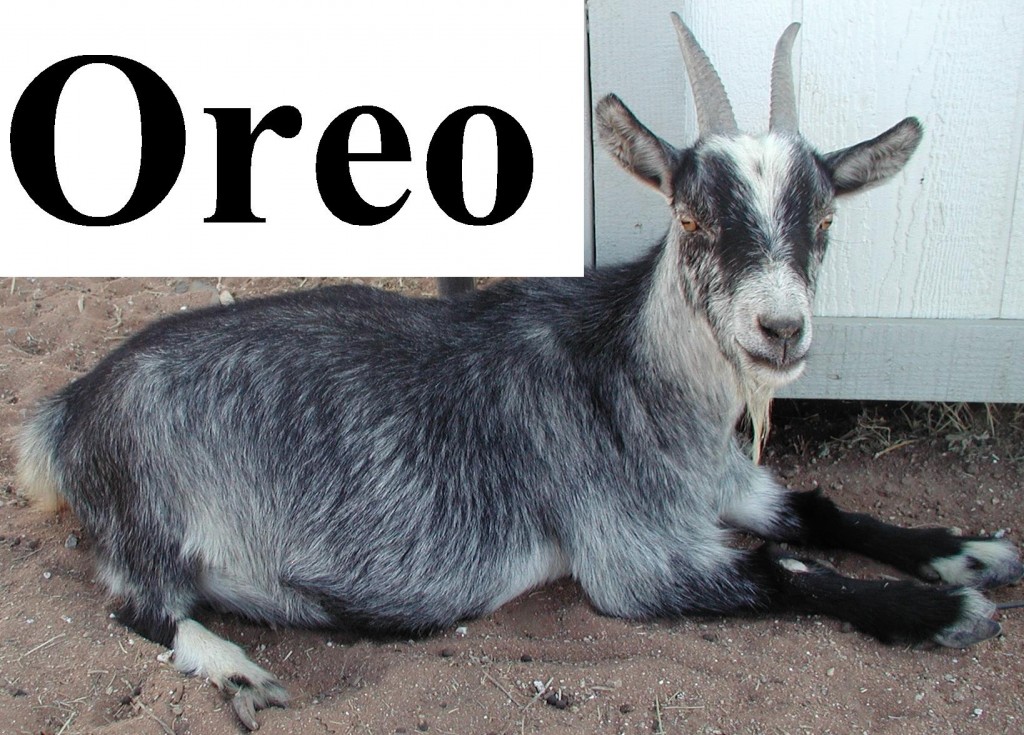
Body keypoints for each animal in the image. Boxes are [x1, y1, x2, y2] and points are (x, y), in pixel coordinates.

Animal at [17, 13, 1022, 730]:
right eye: (691, 216)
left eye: (824, 221)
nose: (781, 329)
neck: (643, 378)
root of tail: (65, 410)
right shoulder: (635, 557)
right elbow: (787, 568)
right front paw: (948, 610)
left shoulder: (731, 483)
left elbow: (818, 510)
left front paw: (972, 548)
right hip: (149, 520)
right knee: (140, 611)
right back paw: (241, 671)